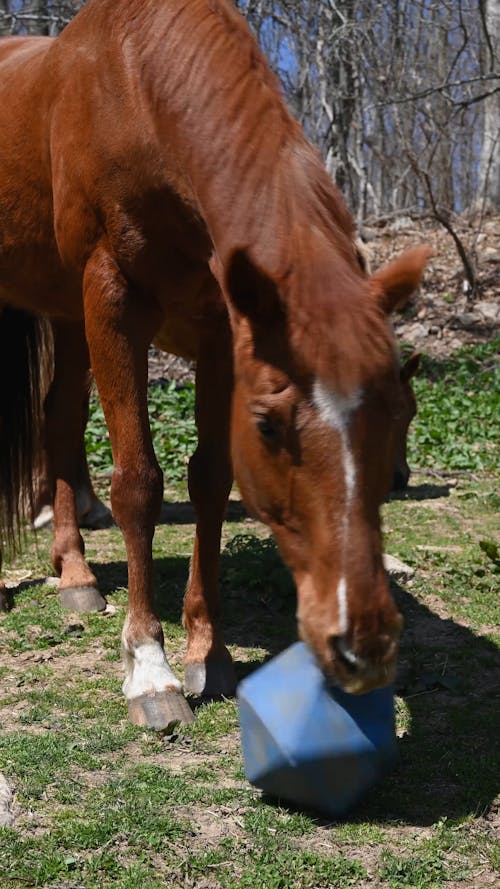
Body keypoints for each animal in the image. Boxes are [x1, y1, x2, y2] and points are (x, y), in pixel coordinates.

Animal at [0, 1, 430, 728]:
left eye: (398, 415)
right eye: (269, 426)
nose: (364, 646)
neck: (137, 88)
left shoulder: (221, 332)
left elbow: (208, 480)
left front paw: (210, 651)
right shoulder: (112, 303)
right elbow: (139, 483)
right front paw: (150, 668)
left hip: (65, 315)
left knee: (59, 419)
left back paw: (76, 573)